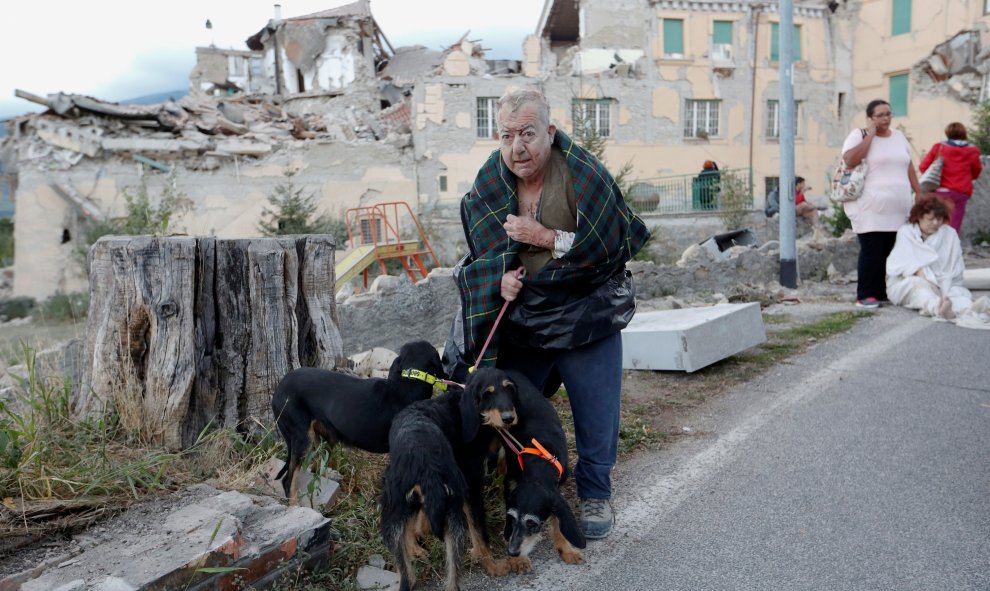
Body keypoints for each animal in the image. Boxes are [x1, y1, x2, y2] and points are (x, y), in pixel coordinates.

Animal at [270, 340, 444, 506]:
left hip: (326, 438)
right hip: (302, 439)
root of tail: (278, 389)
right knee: (288, 480)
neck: (408, 382)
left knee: (317, 467)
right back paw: (295, 506)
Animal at [380, 370, 520, 591]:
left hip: (397, 516)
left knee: (408, 573)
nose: (509, 418)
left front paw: (421, 531)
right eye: (487, 394)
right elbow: (480, 533)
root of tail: (423, 460)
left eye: (510, 389)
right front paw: (492, 565)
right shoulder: (471, 488)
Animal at [500, 370, 584, 572]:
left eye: (532, 523)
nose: (512, 552)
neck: (540, 460)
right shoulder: (510, 482)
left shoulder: (556, 489)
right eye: (512, 518)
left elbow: (558, 521)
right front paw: (518, 560)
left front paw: (567, 550)